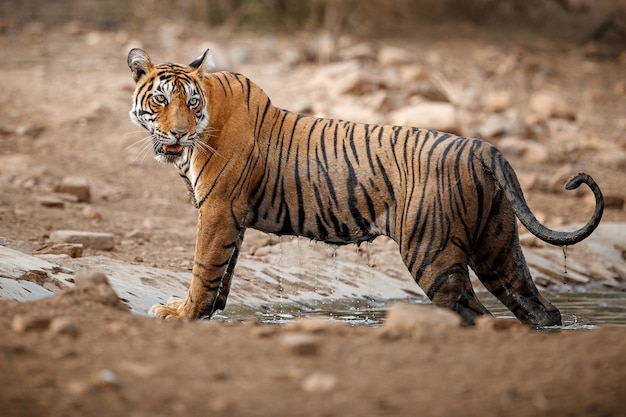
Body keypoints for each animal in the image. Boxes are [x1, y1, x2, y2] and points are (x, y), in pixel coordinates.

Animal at [128, 46, 604, 324]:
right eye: (160, 99)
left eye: (190, 103)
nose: (177, 133)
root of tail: (482, 147)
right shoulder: (233, 217)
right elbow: (222, 272)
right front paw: (204, 311)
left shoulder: (218, 211)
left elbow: (204, 267)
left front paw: (181, 314)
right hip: (498, 247)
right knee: (541, 310)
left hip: (431, 253)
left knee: (474, 313)